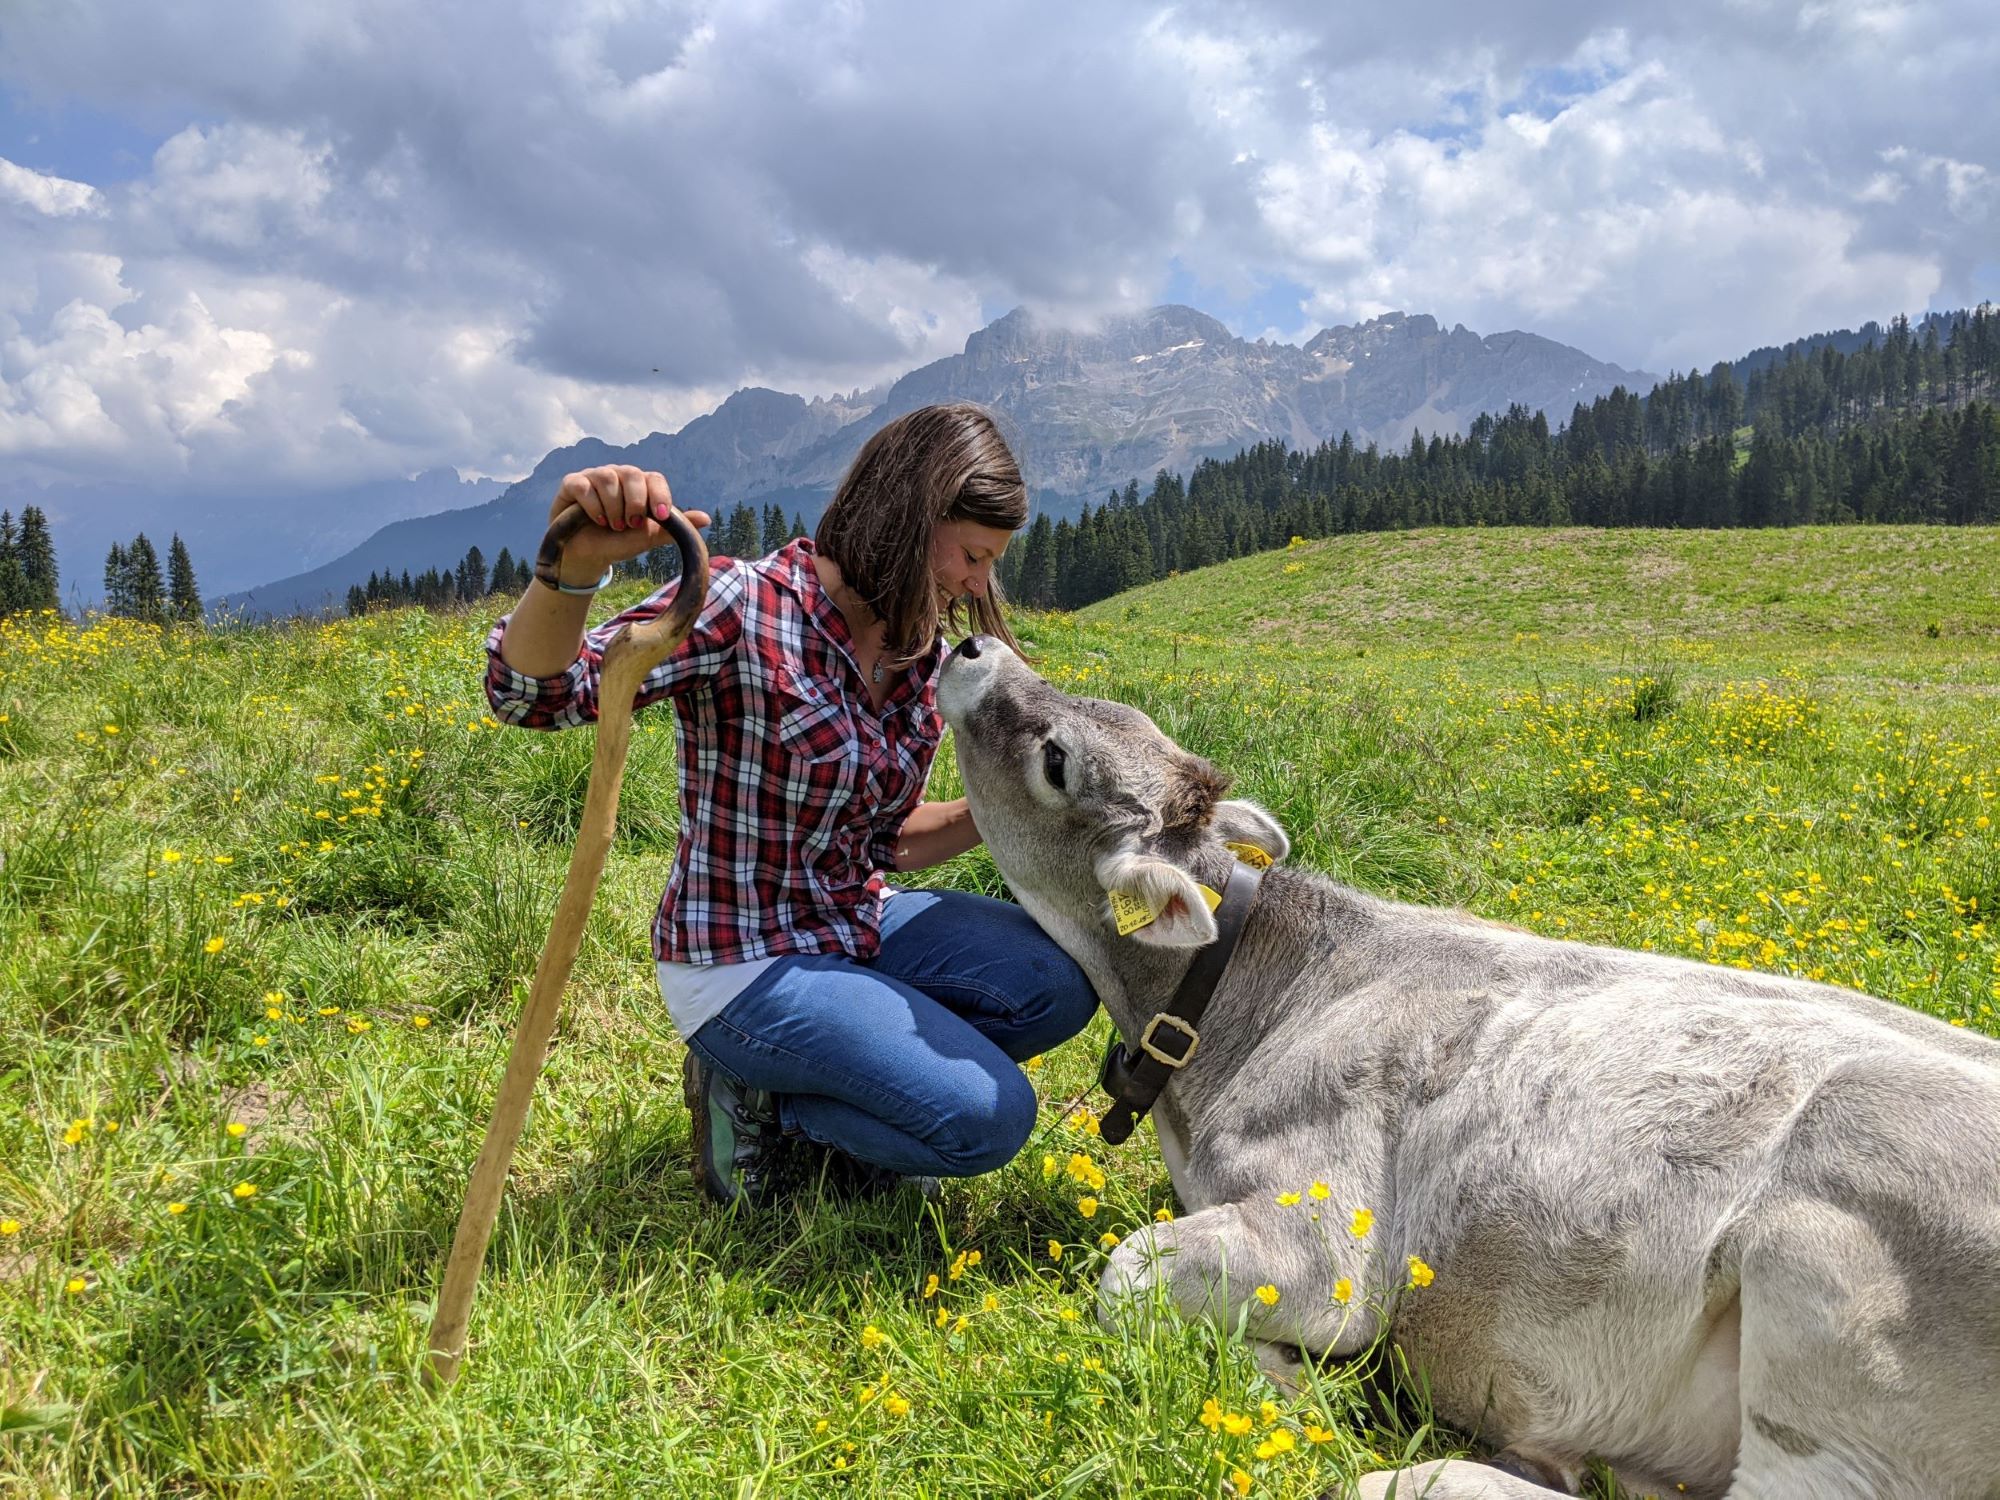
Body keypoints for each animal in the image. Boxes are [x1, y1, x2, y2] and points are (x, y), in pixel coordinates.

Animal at [936, 636, 2000, 1500]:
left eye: (1057, 762)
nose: (972, 645)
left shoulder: (1327, 1243)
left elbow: (1124, 1278)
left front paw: (1290, 1379)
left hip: (1834, 1278)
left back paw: (1426, 1473)